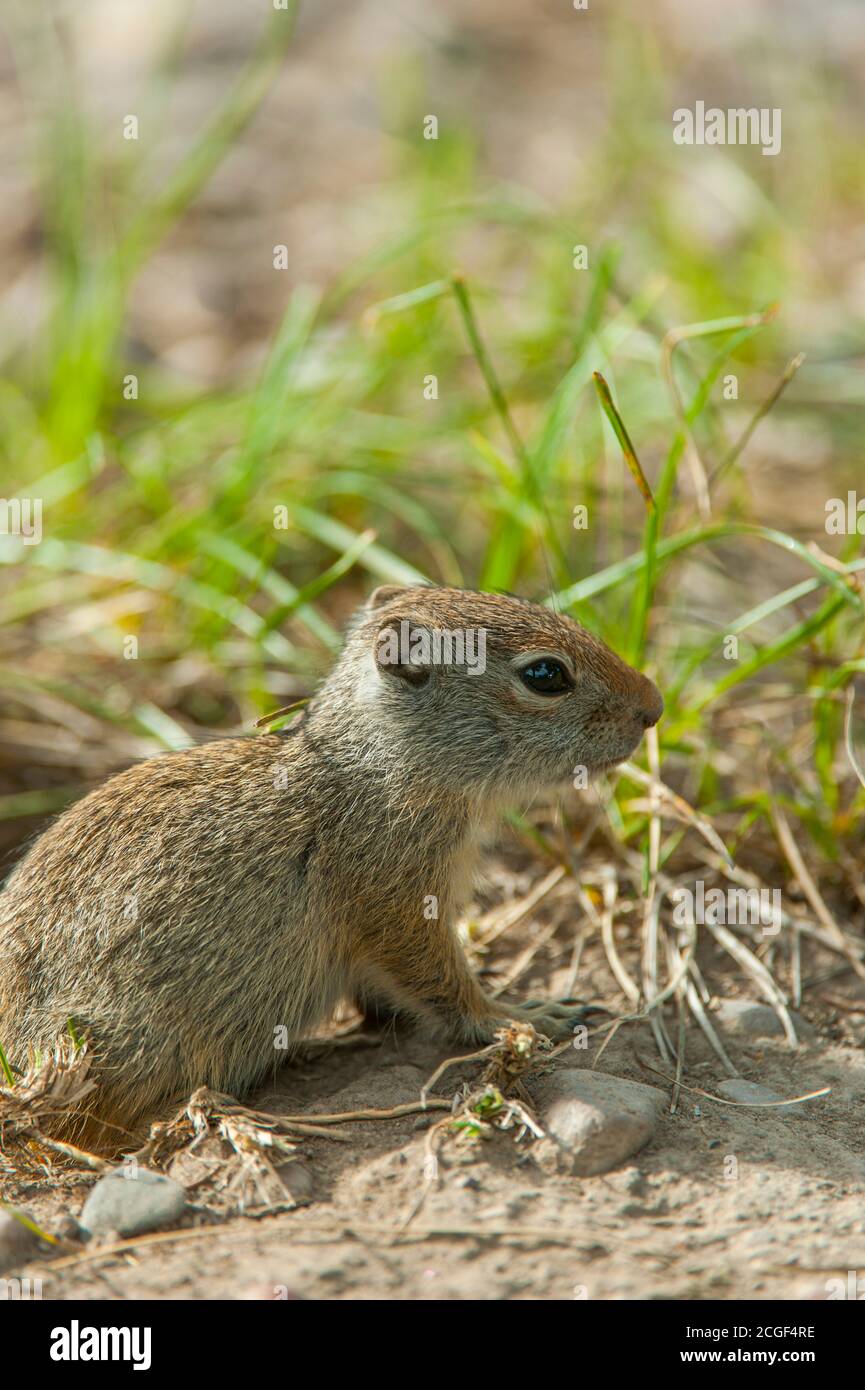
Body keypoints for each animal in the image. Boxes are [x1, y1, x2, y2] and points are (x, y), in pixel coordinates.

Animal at [1, 586, 664, 1139]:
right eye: (545, 675)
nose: (654, 705)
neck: (380, 765)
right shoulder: (403, 912)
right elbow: (446, 986)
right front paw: (523, 1015)